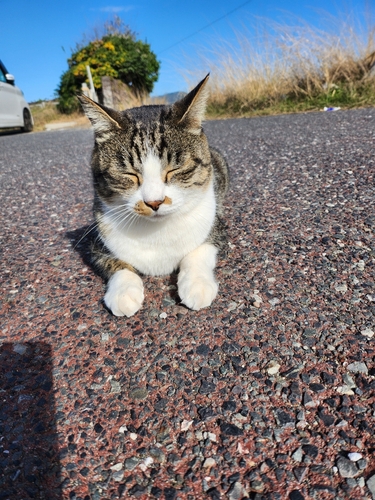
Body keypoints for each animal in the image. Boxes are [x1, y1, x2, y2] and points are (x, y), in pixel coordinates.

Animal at [78, 74, 229, 316]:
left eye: (175, 169)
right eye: (129, 174)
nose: (154, 202)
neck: (156, 232)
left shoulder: (217, 227)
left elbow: (200, 250)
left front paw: (197, 284)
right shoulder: (95, 240)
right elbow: (115, 263)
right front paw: (123, 291)